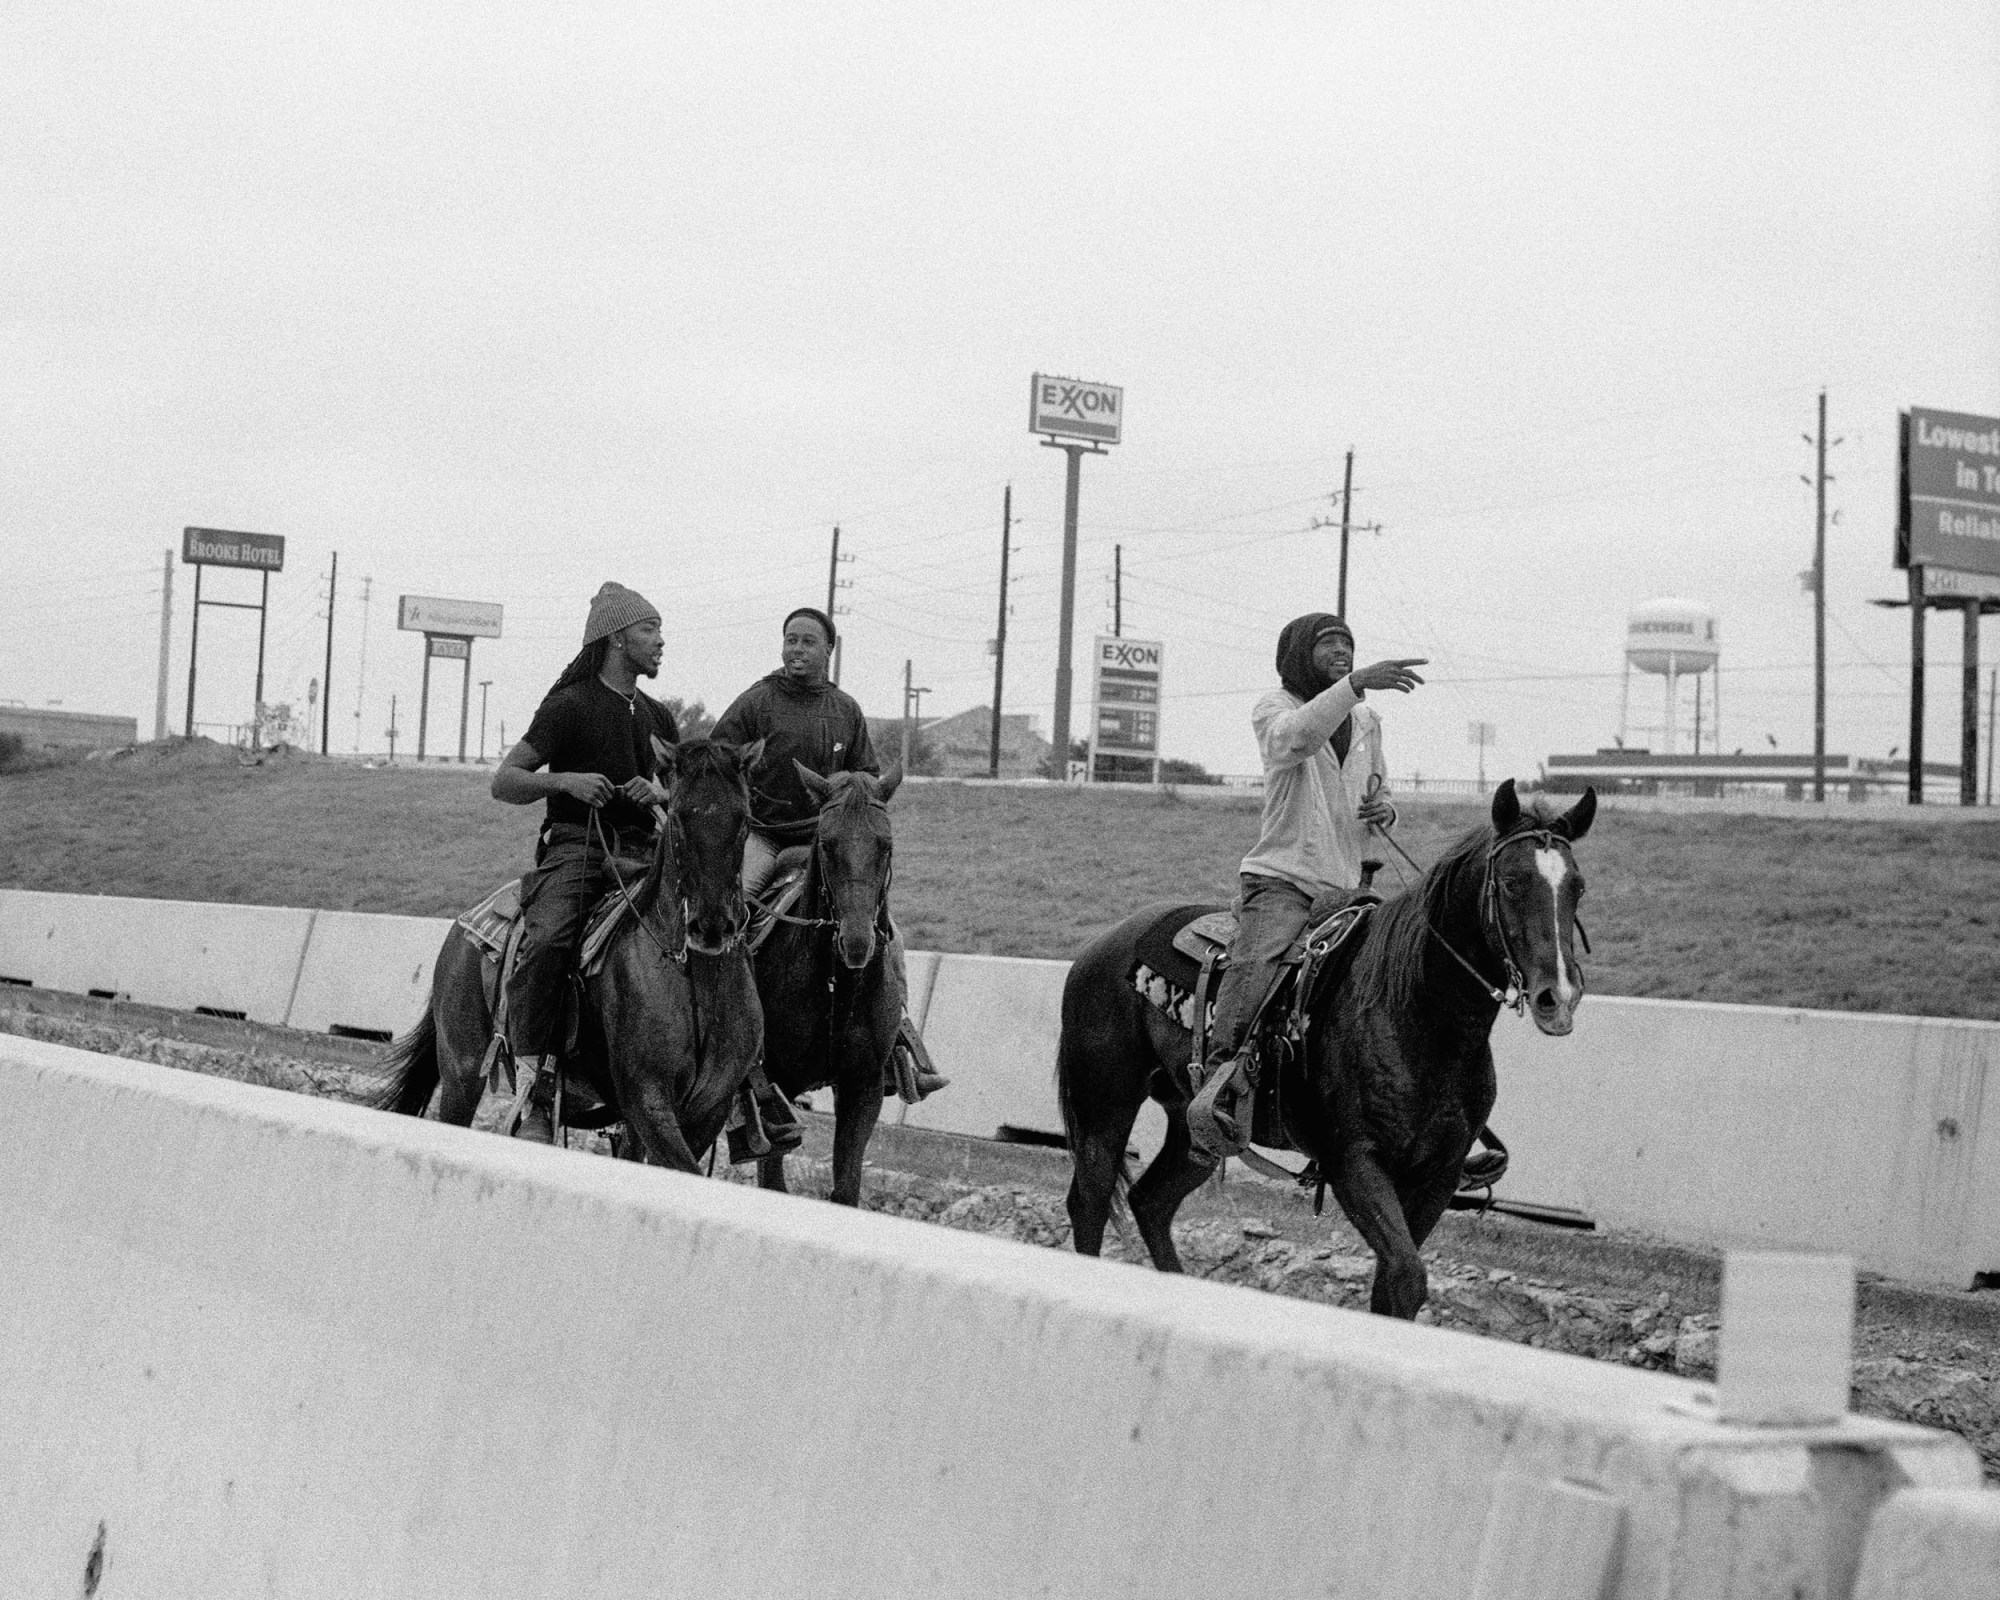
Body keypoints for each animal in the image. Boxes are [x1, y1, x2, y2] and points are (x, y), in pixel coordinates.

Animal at [368, 732, 764, 1168]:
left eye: (744, 819)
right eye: (677, 816)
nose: (711, 925)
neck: (694, 981)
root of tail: (463, 927)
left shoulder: (707, 1109)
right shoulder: (648, 1100)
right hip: (462, 1069)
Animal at [752, 764, 904, 1200]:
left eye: (885, 844)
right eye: (828, 845)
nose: (856, 942)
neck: (838, 991)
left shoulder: (863, 1087)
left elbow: (846, 1188)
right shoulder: (774, 1089)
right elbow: (773, 1181)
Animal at [1064, 780, 1592, 1320]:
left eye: (1577, 886)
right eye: (1510, 882)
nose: (1559, 996)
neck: (1414, 1014)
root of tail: (1098, 946)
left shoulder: (1438, 1175)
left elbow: (1393, 1284)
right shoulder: (1354, 1163)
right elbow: (1406, 1276)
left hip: (1195, 1131)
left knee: (1150, 1203)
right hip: (1103, 1110)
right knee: (1089, 1204)